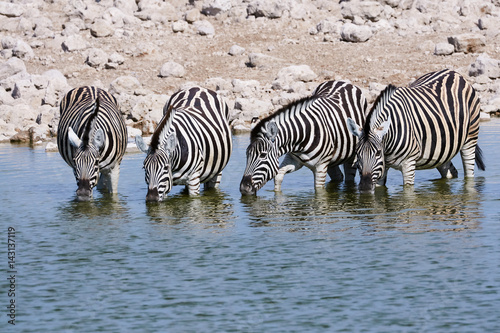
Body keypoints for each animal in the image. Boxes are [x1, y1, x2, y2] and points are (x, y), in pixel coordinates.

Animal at [240, 80, 370, 195]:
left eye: (262, 155)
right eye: (247, 154)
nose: (244, 188)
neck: (299, 139)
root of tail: (342, 82)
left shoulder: (320, 167)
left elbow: (319, 192)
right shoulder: (295, 160)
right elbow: (278, 176)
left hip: (350, 155)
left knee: (349, 178)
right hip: (333, 158)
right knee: (338, 176)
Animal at [348, 68, 484, 192]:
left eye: (377, 153)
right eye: (357, 154)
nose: (365, 187)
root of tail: (454, 73)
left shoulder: (409, 163)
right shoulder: (382, 168)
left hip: (470, 137)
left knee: (469, 173)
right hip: (442, 149)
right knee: (451, 172)